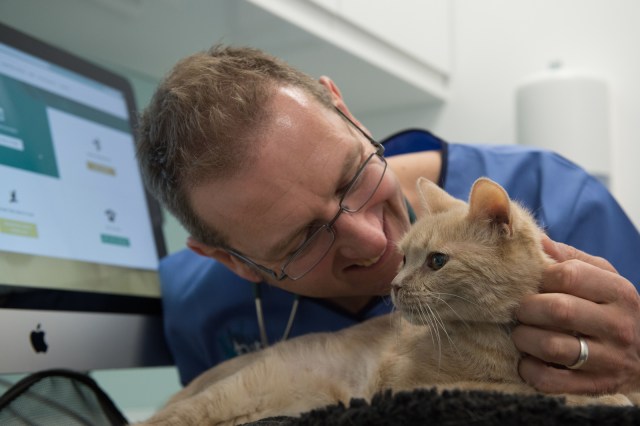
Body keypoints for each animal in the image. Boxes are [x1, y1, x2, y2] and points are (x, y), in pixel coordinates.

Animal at [141, 177, 636, 426]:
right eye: (403, 257)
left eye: (436, 261)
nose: (395, 285)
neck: (499, 339)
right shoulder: (418, 385)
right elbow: (527, 390)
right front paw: (606, 399)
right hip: (226, 395)